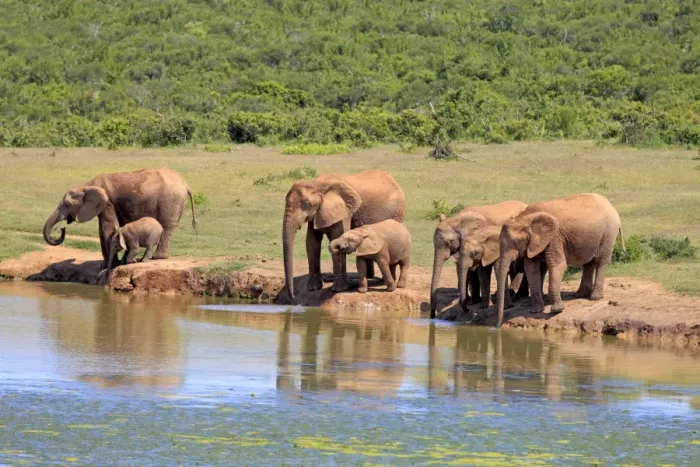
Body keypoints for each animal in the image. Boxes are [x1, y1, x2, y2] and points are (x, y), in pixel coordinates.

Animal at [43, 168, 196, 267]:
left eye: (67, 205)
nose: (62, 228)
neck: (86, 186)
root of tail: (185, 185)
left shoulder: (108, 203)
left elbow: (108, 227)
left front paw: (113, 264)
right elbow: (102, 230)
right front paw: (106, 265)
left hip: (170, 201)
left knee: (167, 226)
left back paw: (157, 258)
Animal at [282, 170, 406, 301]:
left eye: (307, 203)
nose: (292, 297)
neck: (317, 183)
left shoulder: (344, 211)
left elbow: (337, 235)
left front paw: (338, 289)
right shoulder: (317, 213)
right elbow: (312, 241)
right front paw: (313, 288)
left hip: (398, 210)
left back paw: (382, 281)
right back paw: (369, 276)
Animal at [496, 193, 624, 327]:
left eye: (517, 241)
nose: (497, 326)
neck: (526, 216)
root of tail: (610, 204)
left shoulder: (555, 237)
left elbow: (557, 265)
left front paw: (557, 310)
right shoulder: (534, 243)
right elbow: (531, 269)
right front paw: (535, 311)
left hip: (609, 233)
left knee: (601, 261)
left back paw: (594, 297)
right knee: (588, 263)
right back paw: (580, 294)